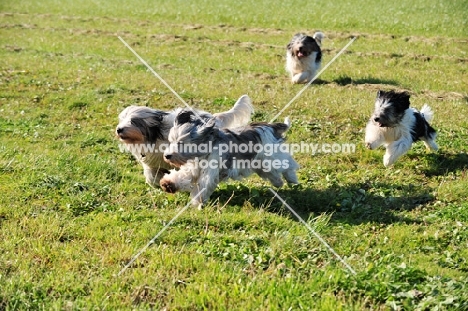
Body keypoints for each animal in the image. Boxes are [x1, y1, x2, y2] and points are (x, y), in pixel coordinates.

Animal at [116, 95, 254, 188]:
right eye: (121, 119)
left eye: (133, 121)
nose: (119, 129)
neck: (155, 136)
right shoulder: (151, 163)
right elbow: (151, 176)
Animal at [160, 110, 300, 210]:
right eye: (171, 141)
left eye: (181, 143)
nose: (167, 155)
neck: (205, 151)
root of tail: (270, 126)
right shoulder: (193, 168)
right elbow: (183, 175)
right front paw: (168, 183)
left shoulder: (211, 170)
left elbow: (203, 184)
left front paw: (197, 201)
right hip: (261, 164)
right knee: (274, 174)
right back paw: (278, 183)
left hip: (271, 157)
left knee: (288, 164)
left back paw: (292, 179)